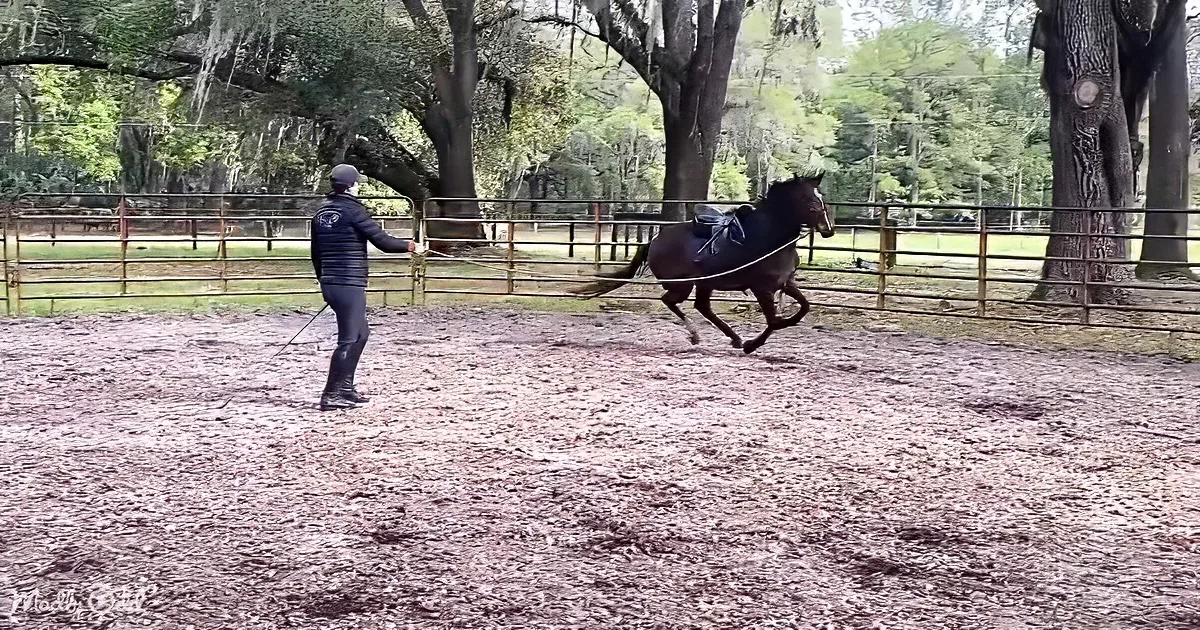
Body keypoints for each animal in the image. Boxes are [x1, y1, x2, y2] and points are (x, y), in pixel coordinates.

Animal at [568, 173, 835, 354]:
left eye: (821, 196)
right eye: (805, 198)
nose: (828, 228)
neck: (768, 237)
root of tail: (654, 240)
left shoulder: (786, 283)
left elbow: (803, 308)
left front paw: (751, 342)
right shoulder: (763, 289)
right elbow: (775, 322)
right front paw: (752, 344)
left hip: (704, 284)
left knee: (702, 307)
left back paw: (733, 338)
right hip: (683, 284)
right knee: (671, 301)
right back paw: (697, 335)